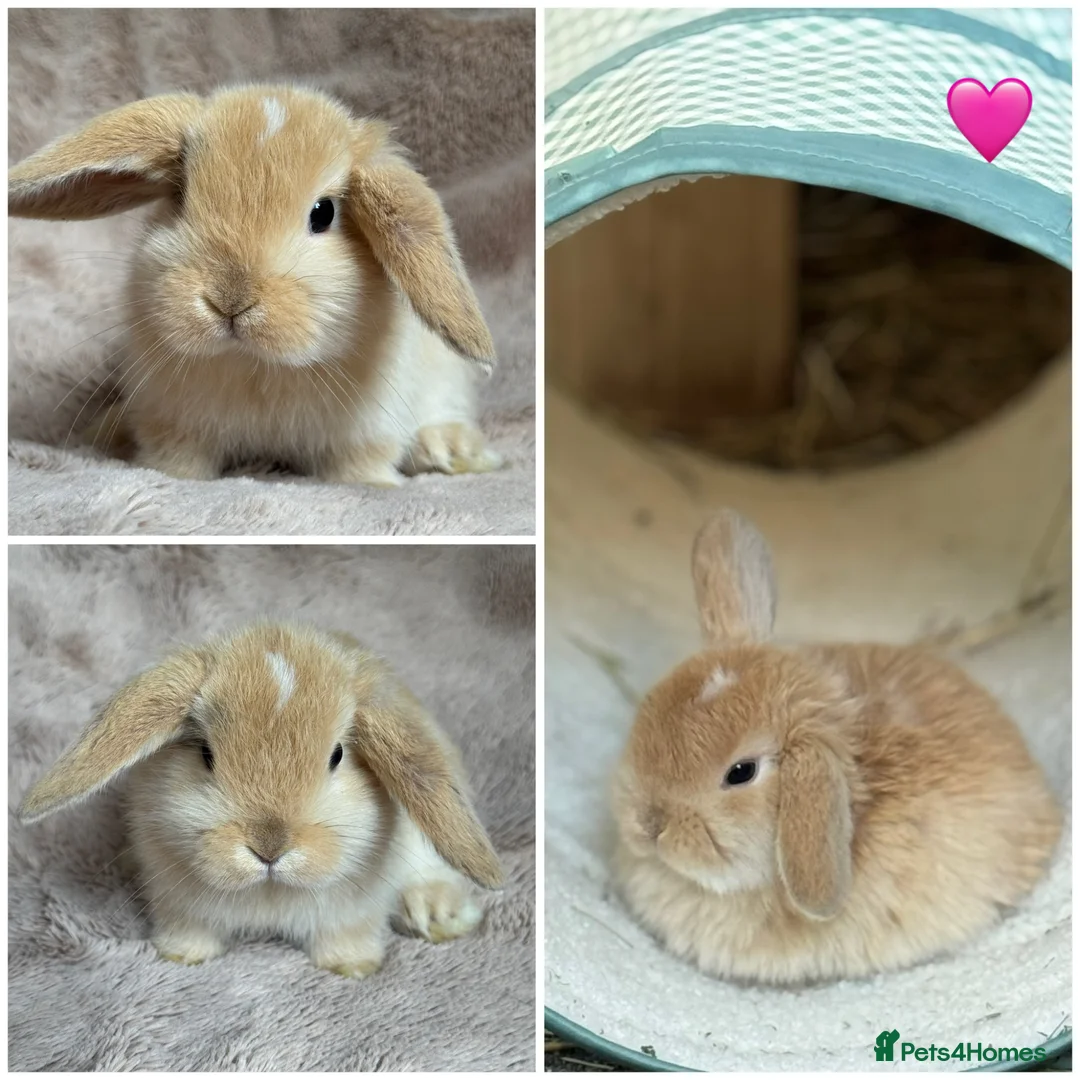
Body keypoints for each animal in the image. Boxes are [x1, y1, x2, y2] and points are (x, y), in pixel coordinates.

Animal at [8, 84, 503, 485]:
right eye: (179, 196)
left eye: (324, 213)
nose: (229, 300)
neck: (255, 364)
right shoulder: (173, 421)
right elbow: (178, 460)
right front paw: (171, 477)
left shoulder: (368, 429)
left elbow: (359, 464)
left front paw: (373, 486)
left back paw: (449, 450)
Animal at [18, 622, 503, 976]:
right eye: (206, 754)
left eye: (337, 756)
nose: (269, 846)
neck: (269, 893)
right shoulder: (177, 901)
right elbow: (189, 931)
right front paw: (184, 956)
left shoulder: (353, 910)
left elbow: (348, 935)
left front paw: (352, 967)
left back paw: (436, 914)